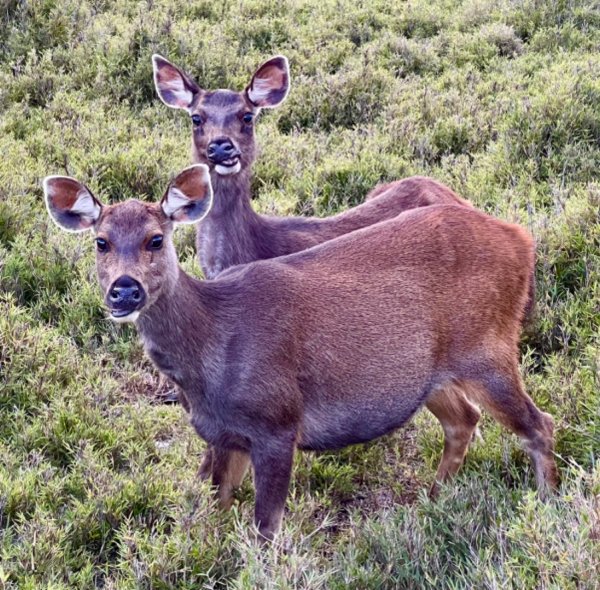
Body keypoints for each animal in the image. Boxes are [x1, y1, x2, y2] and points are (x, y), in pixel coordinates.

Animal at [45, 164, 556, 544]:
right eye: (101, 241)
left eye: (156, 238)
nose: (123, 290)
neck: (210, 352)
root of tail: (522, 239)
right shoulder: (224, 435)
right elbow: (212, 509)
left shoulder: (277, 421)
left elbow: (265, 528)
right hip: (430, 374)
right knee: (464, 420)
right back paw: (433, 500)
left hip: (488, 348)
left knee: (539, 424)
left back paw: (546, 508)